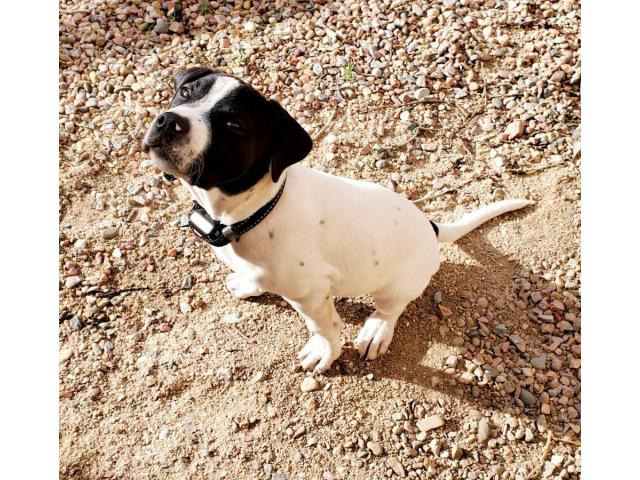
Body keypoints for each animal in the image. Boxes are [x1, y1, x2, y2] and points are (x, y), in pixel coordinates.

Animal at [142, 67, 532, 374]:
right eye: (186, 92)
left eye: (233, 124)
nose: (168, 120)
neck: (253, 211)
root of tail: (431, 226)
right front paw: (249, 283)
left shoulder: (311, 295)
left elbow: (326, 329)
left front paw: (323, 353)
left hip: (395, 285)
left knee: (391, 308)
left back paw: (376, 329)